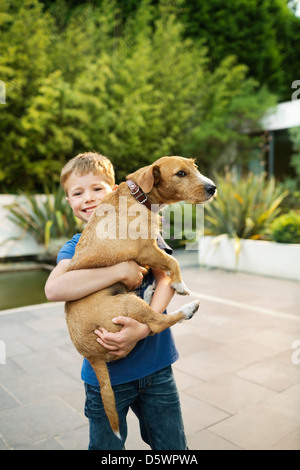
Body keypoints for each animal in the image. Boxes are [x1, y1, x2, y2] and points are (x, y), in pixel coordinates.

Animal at [65, 157, 216, 436]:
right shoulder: (147, 250)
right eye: (180, 173)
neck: (139, 197)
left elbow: (163, 264)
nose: (213, 188)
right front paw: (179, 283)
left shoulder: (150, 252)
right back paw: (187, 308)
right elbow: (173, 260)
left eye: (195, 167)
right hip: (126, 302)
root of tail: (90, 356)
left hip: (127, 298)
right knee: (155, 323)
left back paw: (148, 290)